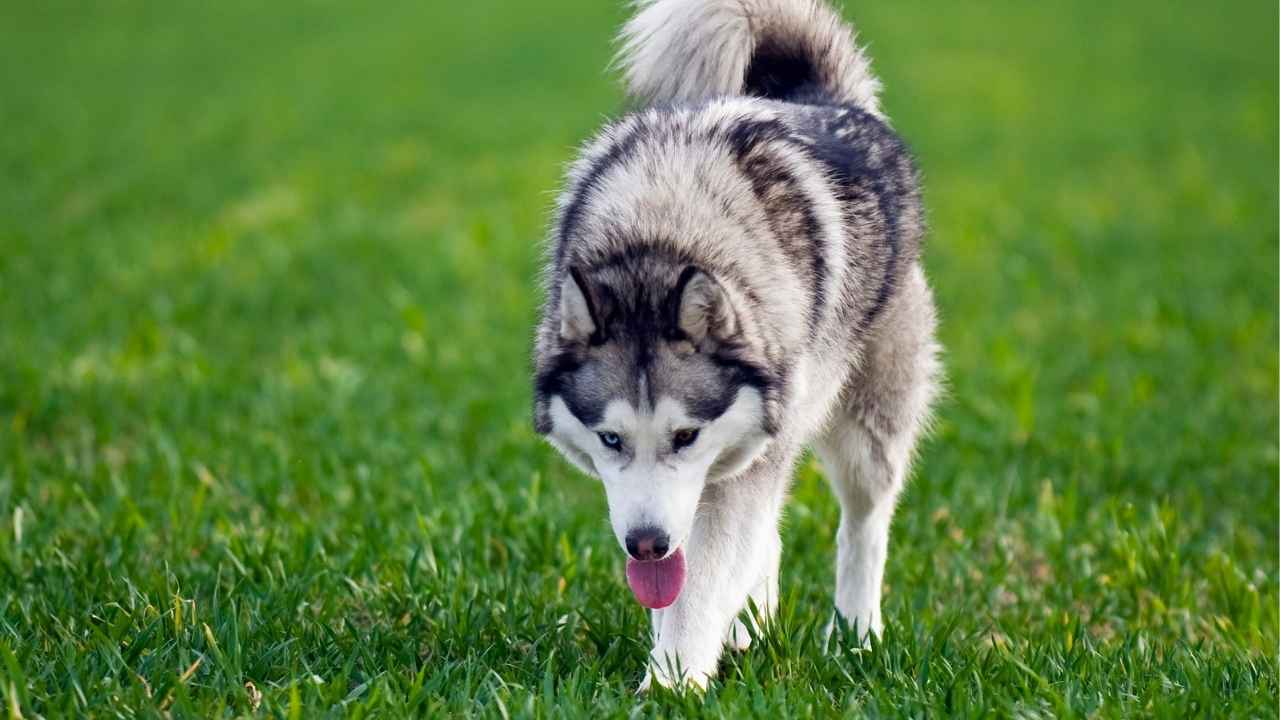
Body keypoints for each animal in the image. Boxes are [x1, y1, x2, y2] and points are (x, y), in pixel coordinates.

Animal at [529, 0, 942, 686]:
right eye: (610, 439)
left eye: (685, 436)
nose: (645, 543)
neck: (662, 233)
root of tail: (823, 98)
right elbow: (692, 575)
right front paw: (685, 656)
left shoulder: (736, 468)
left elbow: (700, 583)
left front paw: (671, 685)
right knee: (767, 537)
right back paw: (753, 629)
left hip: (863, 430)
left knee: (862, 526)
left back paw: (856, 638)